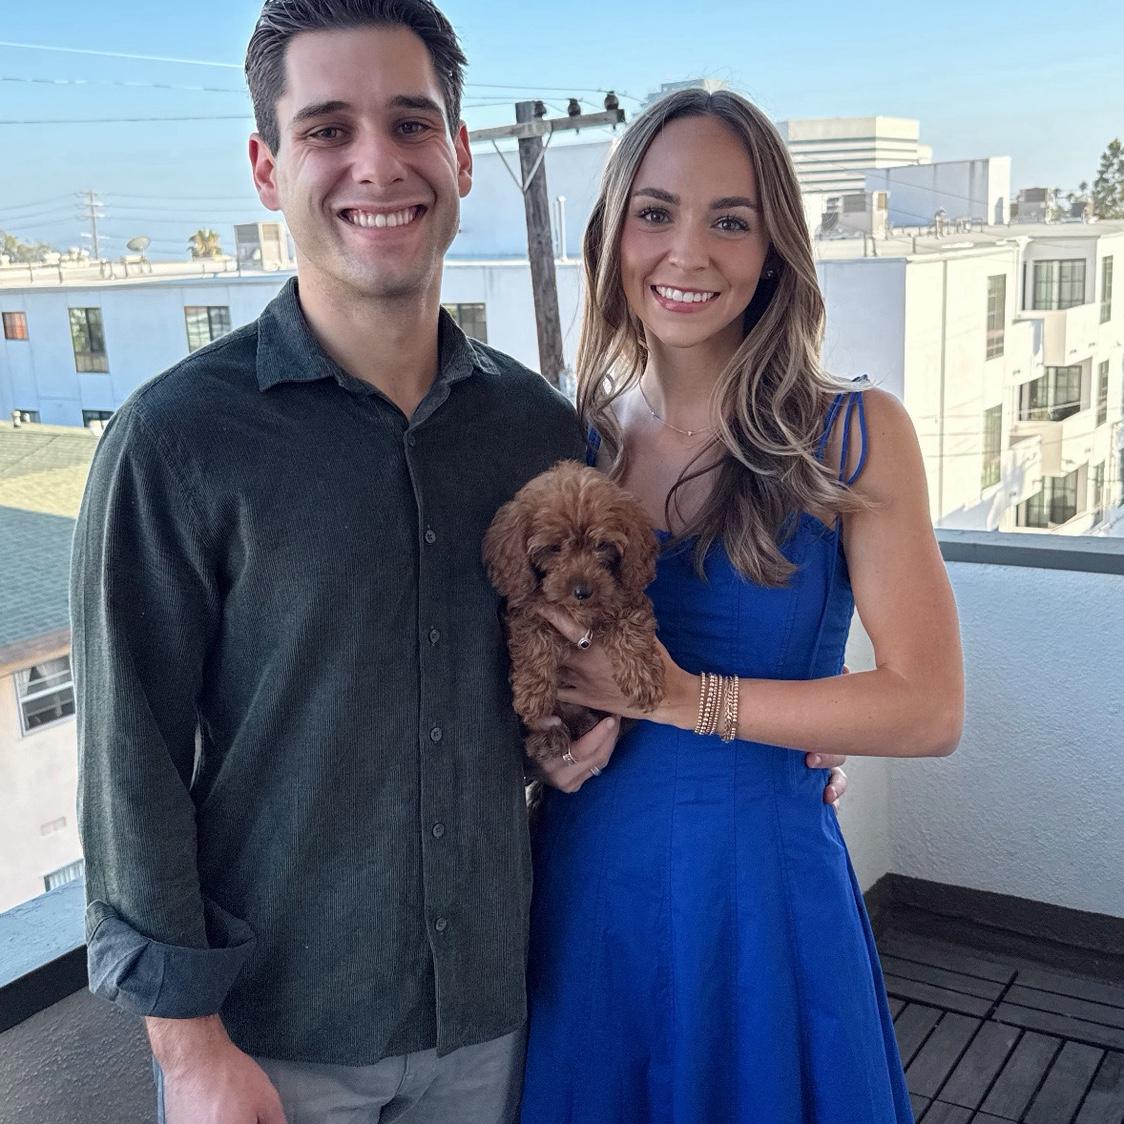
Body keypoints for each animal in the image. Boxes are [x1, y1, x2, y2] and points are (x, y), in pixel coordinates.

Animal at [483, 460, 666, 765]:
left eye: (602, 545)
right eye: (553, 547)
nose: (582, 591)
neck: (578, 610)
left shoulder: (628, 599)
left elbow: (630, 630)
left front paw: (644, 679)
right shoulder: (527, 609)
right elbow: (534, 641)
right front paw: (532, 695)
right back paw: (547, 738)